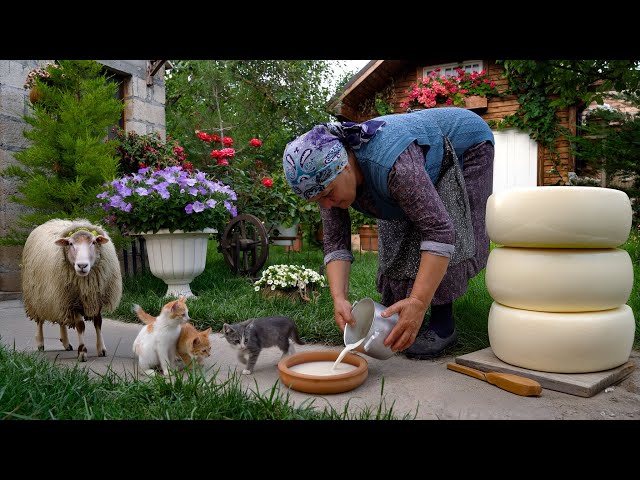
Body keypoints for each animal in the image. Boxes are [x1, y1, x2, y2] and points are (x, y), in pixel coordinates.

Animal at [21, 218, 123, 360]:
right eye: (70, 243)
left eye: (93, 242)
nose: (82, 265)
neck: (85, 284)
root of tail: (48, 222)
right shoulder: (73, 301)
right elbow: (80, 325)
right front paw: (82, 352)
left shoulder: (95, 298)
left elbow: (98, 322)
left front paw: (101, 349)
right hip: (37, 295)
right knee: (39, 320)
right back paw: (40, 343)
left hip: (59, 297)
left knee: (61, 319)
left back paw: (66, 343)